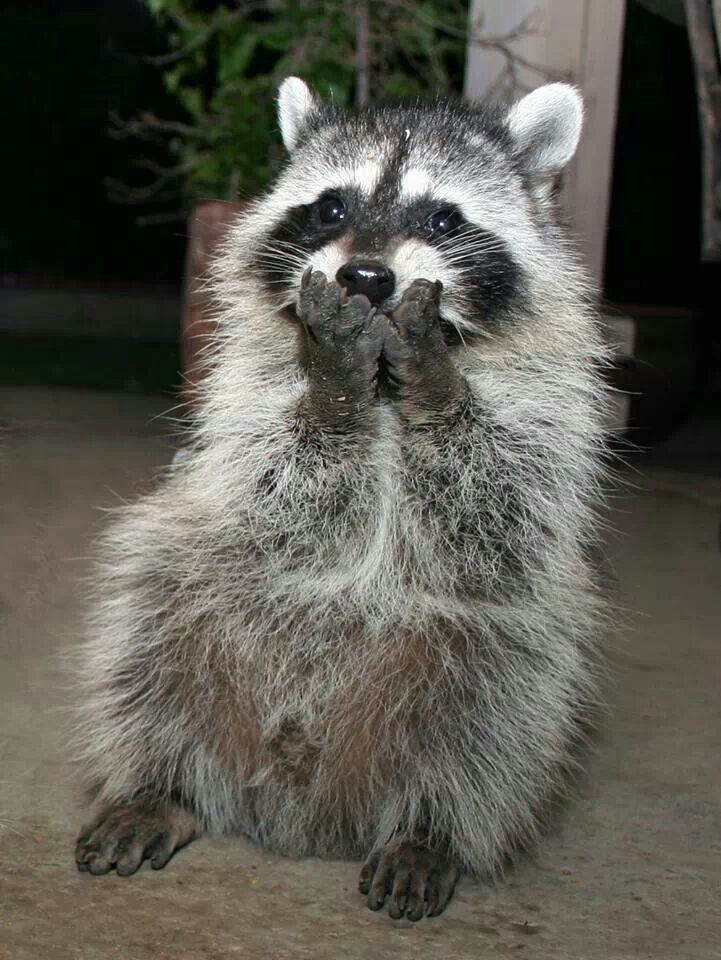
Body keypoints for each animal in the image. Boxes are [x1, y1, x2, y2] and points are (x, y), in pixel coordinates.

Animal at [73, 77, 609, 922]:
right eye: (330, 208)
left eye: (441, 218)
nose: (363, 276)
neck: (381, 382)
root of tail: (301, 808)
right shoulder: (240, 397)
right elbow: (273, 492)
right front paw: (331, 389)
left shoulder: (552, 414)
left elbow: (495, 506)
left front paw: (438, 389)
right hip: (189, 603)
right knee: (151, 635)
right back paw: (161, 783)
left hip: (482, 658)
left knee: (497, 702)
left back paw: (431, 826)